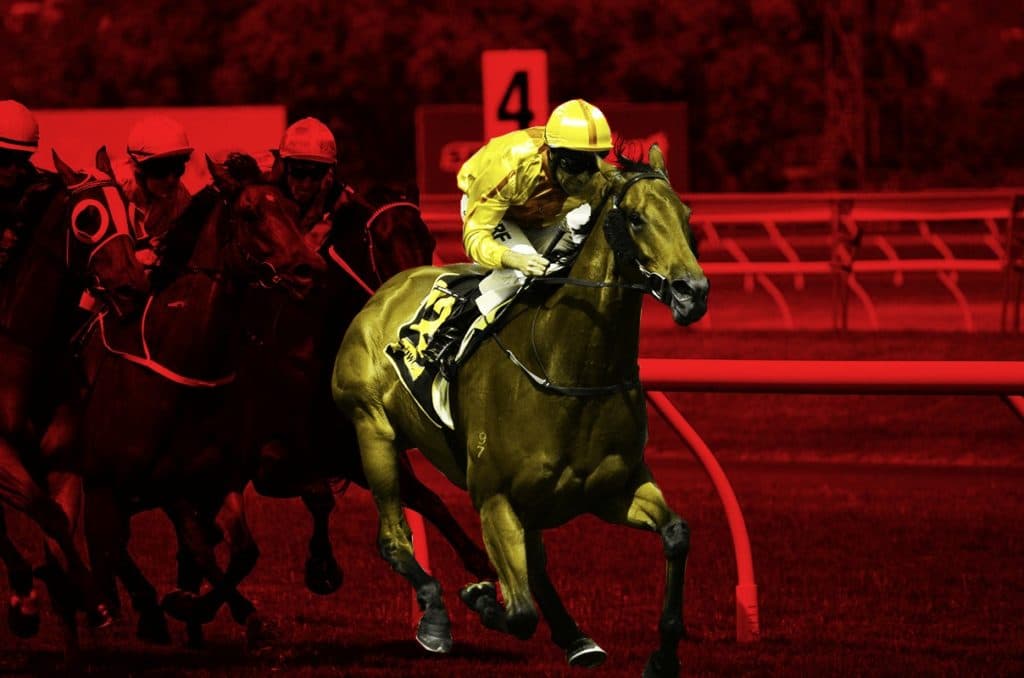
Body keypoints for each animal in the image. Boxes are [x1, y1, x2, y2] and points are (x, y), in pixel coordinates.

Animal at [0, 147, 148, 652]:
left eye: (132, 210)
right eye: (88, 218)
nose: (133, 287)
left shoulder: (61, 460)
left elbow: (59, 523)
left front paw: (76, 604)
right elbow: (45, 514)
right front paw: (39, 602)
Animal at [55, 152, 324, 647]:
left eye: (296, 213)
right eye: (250, 214)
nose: (309, 270)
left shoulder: (211, 479)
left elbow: (235, 552)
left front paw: (208, 608)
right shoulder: (127, 482)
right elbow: (171, 548)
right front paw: (172, 606)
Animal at [332, 146, 708, 677]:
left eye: (687, 216)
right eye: (635, 219)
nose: (692, 292)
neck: (570, 371)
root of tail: (383, 291)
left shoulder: (615, 488)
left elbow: (676, 533)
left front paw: (663, 655)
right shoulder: (493, 498)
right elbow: (520, 612)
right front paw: (480, 597)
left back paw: (576, 638)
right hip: (373, 430)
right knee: (393, 537)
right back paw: (436, 617)